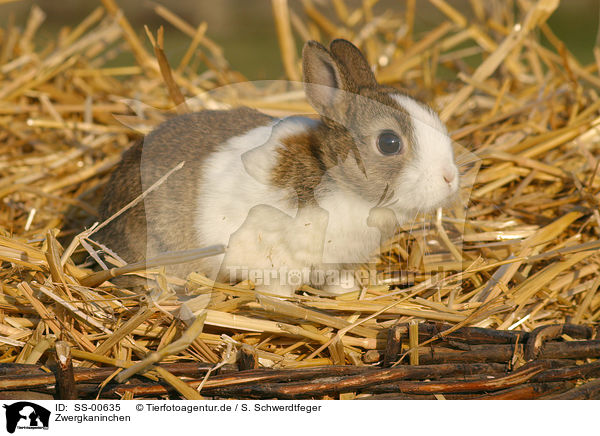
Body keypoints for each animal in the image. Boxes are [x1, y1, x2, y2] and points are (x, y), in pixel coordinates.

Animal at [97, 39, 460, 296]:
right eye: (389, 142)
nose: (450, 178)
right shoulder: (279, 261)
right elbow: (277, 287)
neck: (332, 175)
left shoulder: (337, 264)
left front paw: (348, 292)